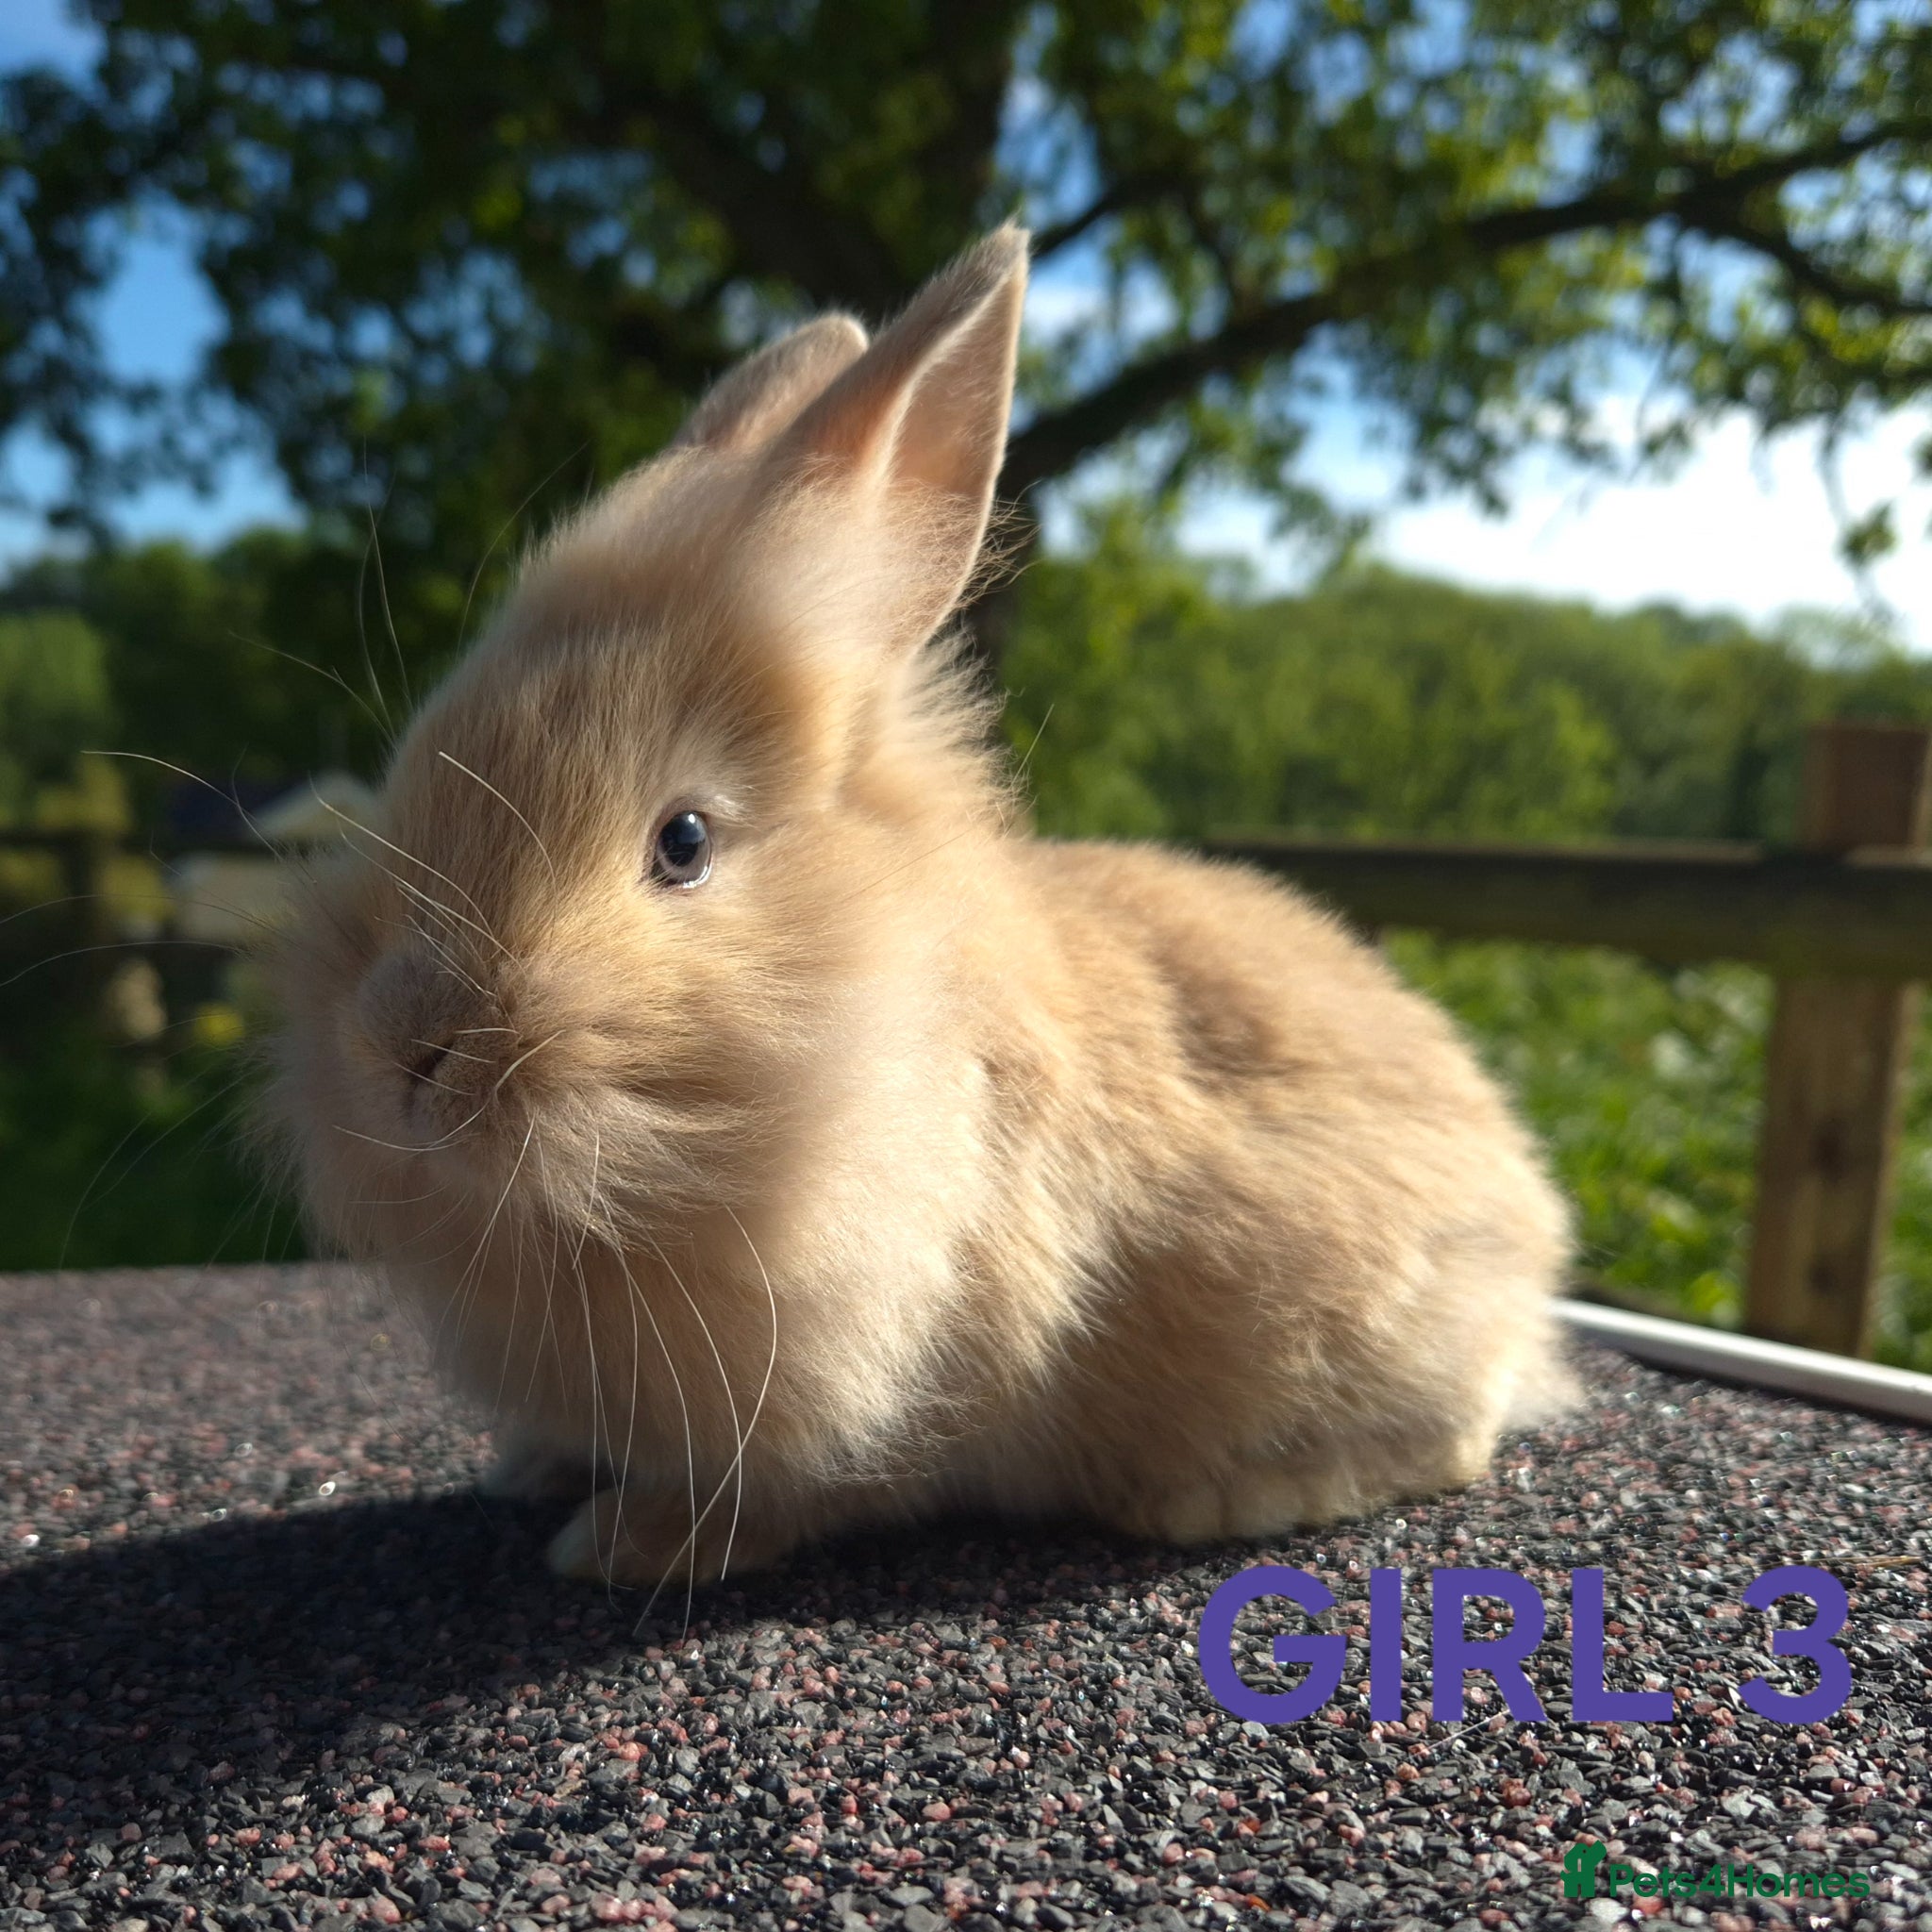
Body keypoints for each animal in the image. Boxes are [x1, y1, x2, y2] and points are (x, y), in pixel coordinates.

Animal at [264, 225, 1572, 1590]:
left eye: (684, 842)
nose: (407, 1050)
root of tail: (1533, 1227)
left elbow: (791, 1487)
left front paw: (624, 1542)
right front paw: (535, 1471)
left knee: (1458, 1435)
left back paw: (1218, 1497)